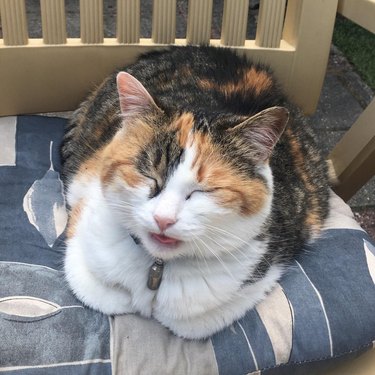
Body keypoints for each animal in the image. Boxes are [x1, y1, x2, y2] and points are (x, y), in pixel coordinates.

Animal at [61, 45, 328, 340]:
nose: (163, 219)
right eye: (149, 175)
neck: (157, 270)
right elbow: (102, 294)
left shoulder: (266, 266)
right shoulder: (84, 219)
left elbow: (188, 322)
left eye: (204, 190)